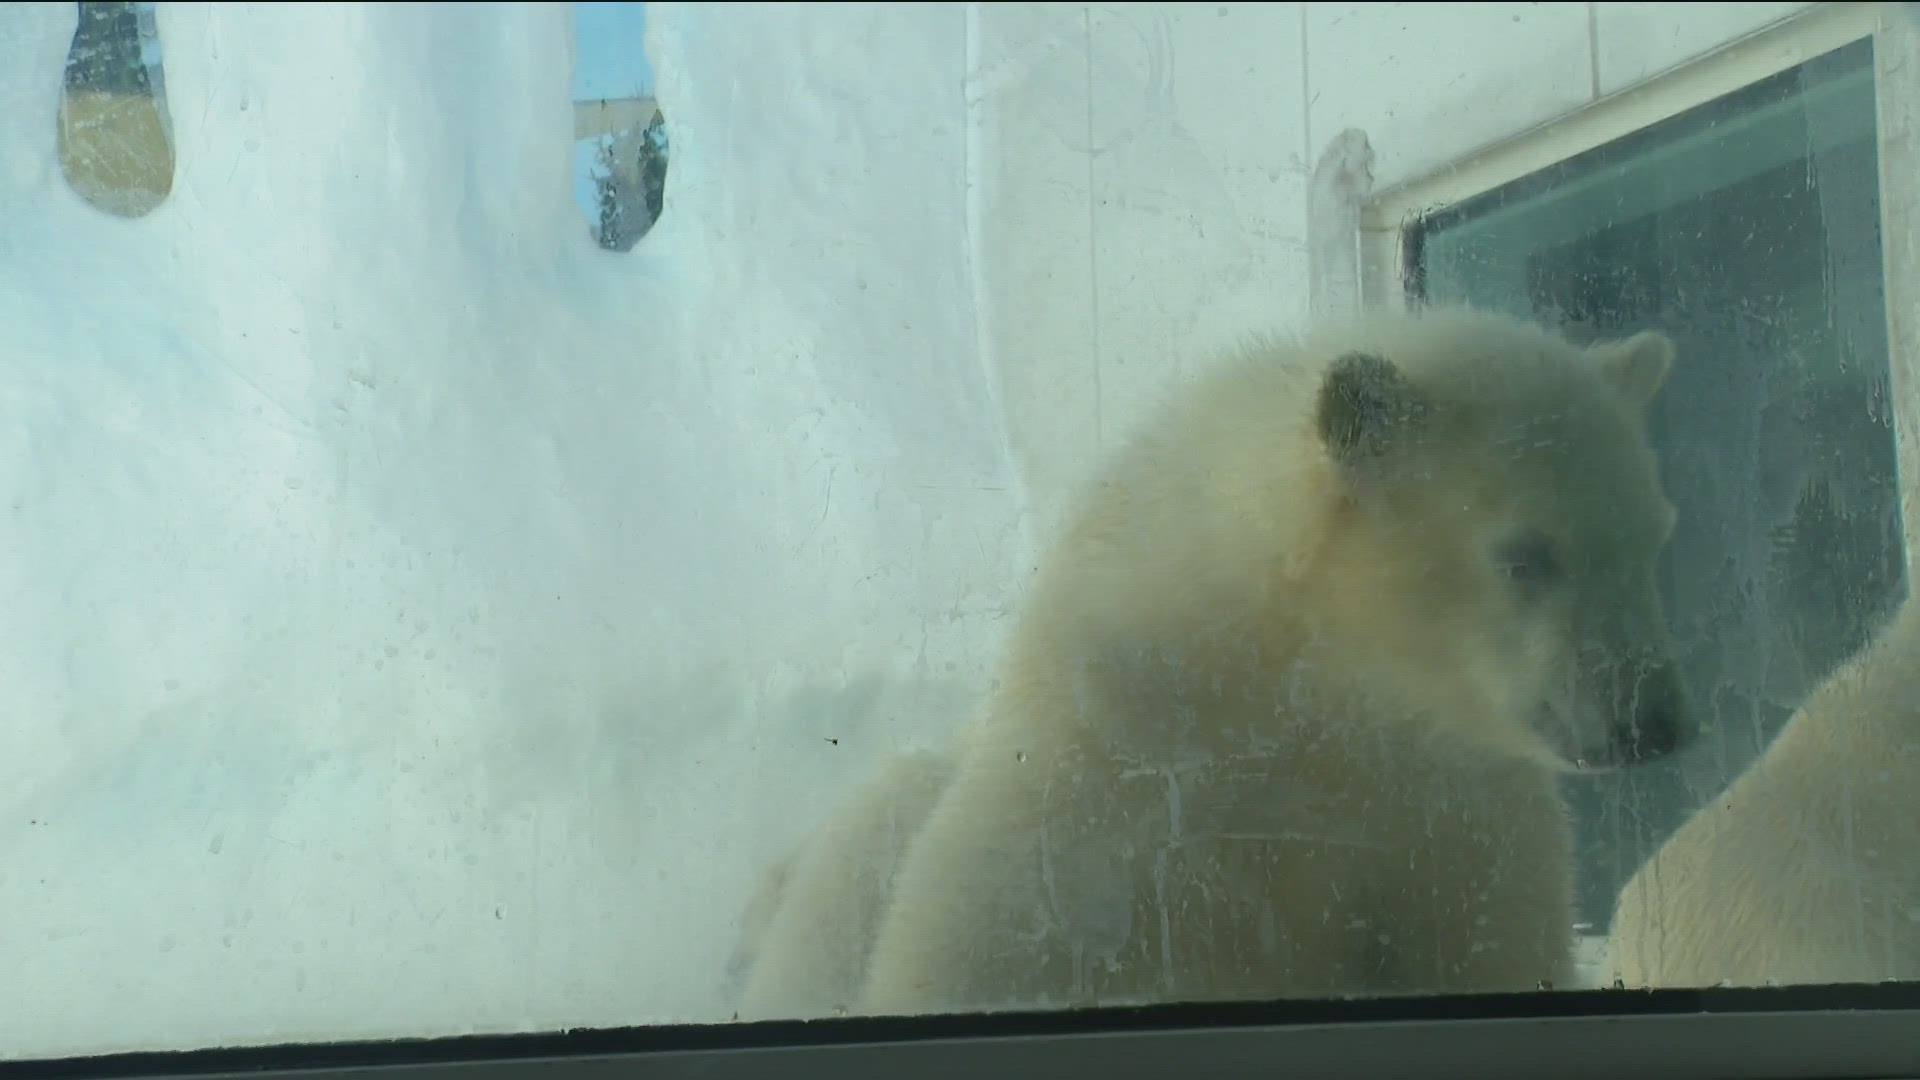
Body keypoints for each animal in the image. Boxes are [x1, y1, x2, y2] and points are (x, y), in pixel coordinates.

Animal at [864, 307, 1689, 1014]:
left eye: (1653, 535)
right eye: (1525, 557)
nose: (1653, 724)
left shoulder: (1456, 810)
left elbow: (1494, 938)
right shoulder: (1116, 772)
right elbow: (998, 935)